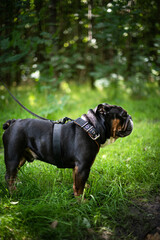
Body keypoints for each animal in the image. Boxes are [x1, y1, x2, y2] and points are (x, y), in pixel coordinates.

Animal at [2, 102, 133, 195]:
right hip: (13, 157)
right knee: (9, 176)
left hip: (21, 157)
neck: (91, 128)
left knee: (14, 174)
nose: (131, 117)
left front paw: (85, 190)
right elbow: (79, 187)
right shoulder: (82, 167)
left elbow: (78, 183)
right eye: (123, 115)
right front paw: (82, 202)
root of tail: (13, 122)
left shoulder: (78, 168)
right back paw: (14, 192)